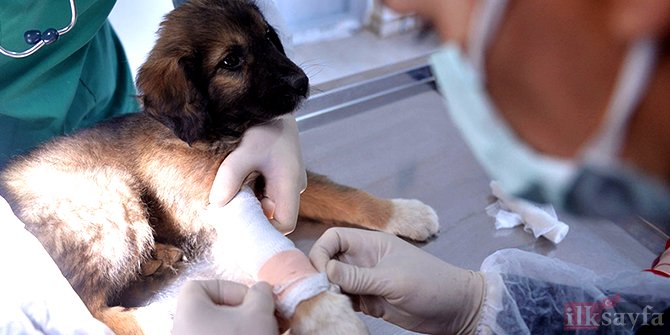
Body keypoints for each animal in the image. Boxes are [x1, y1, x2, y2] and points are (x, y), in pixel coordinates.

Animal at [0, 1, 440, 334]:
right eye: (230, 61)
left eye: (269, 37)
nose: (301, 82)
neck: (209, 132)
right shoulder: (225, 201)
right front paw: (327, 315)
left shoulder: (272, 176)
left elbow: (343, 195)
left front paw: (404, 213)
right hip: (109, 195)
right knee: (84, 305)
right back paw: (155, 317)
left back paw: (158, 258)